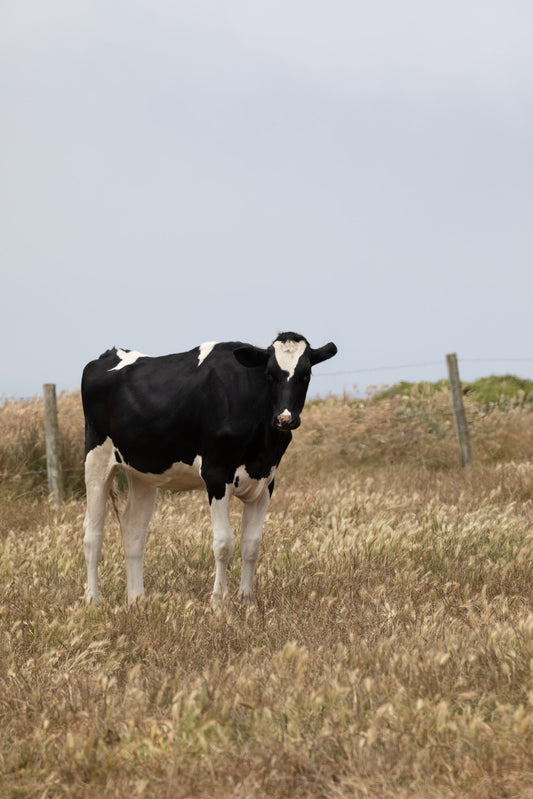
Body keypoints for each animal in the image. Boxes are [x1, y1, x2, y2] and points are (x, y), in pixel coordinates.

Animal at [81, 332, 337, 607]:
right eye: (270, 374)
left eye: (306, 375)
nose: (285, 419)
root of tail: (111, 353)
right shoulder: (216, 475)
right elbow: (224, 543)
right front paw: (219, 602)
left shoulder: (267, 480)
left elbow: (251, 544)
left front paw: (248, 601)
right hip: (96, 458)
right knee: (93, 534)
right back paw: (93, 600)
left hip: (143, 472)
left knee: (133, 530)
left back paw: (138, 600)